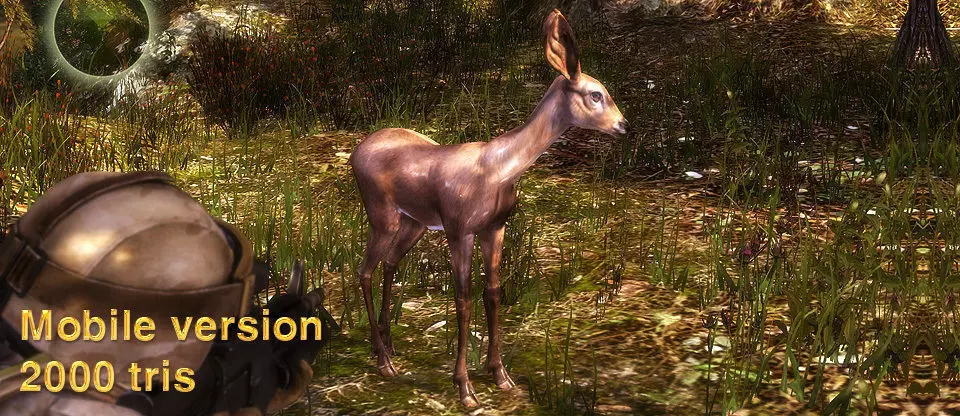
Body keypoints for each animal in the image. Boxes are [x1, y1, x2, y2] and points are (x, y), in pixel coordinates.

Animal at [349, 9, 626, 408]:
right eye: (595, 94)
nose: (623, 125)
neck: (498, 169)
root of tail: (357, 151)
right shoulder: (458, 230)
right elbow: (463, 299)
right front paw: (465, 389)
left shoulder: (494, 228)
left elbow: (493, 293)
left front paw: (501, 376)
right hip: (382, 215)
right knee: (364, 270)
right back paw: (385, 362)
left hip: (414, 223)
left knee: (388, 263)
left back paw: (386, 348)